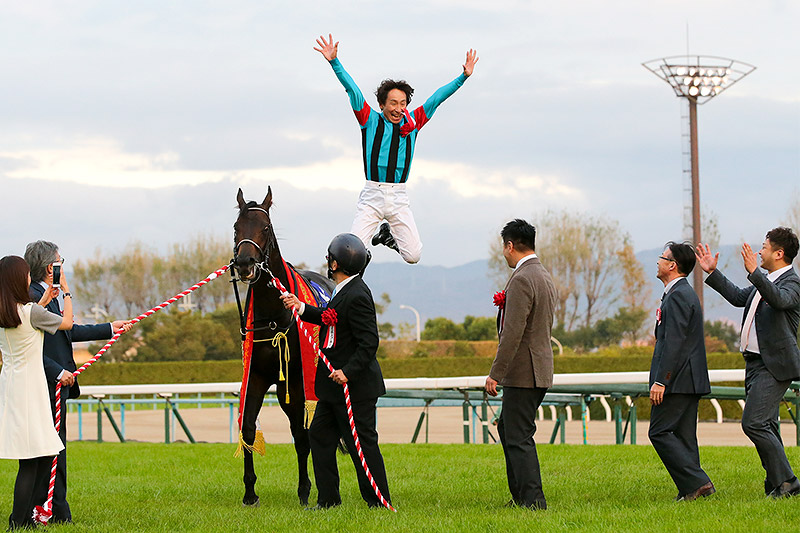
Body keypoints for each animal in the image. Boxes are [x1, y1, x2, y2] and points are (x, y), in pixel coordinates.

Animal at [231, 187, 334, 508]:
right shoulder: (256, 376)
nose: (245, 264)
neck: (274, 316)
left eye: (265, 228)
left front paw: (304, 490)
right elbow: (248, 428)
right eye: (236, 228)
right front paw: (249, 492)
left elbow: (301, 435)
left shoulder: (299, 382)